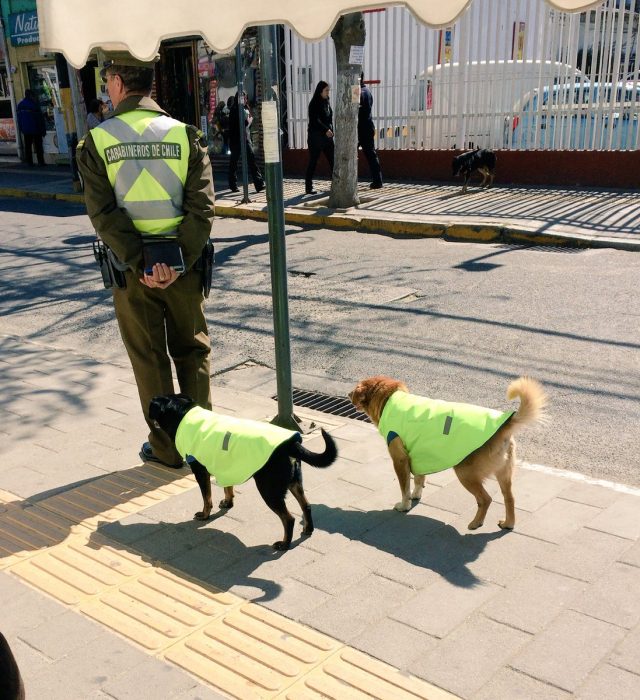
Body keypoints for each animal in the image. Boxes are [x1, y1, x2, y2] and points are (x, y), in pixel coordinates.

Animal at [151, 392, 340, 548]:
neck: (184, 415)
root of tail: (290, 444)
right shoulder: (225, 467)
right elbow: (228, 488)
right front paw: (228, 503)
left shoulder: (200, 472)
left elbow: (207, 498)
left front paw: (205, 515)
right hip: (294, 482)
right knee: (306, 506)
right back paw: (308, 529)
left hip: (269, 490)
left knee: (289, 518)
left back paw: (284, 544)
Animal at [348, 378, 548, 532]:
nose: (348, 394)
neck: (390, 399)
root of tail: (505, 426)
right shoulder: (419, 454)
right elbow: (419, 479)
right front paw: (416, 495)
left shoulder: (399, 459)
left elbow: (404, 487)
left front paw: (404, 505)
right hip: (504, 474)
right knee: (509, 498)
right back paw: (508, 523)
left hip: (465, 472)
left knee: (485, 499)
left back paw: (476, 523)